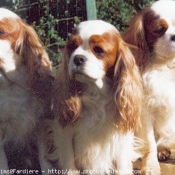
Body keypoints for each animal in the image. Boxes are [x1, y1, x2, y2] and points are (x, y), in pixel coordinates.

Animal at [41, 20, 143, 175]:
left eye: (99, 50)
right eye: (72, 46)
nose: (77, 59)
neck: (96, 93)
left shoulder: (122, 135)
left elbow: (122, 164)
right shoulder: (63, 132)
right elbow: (68, 161)